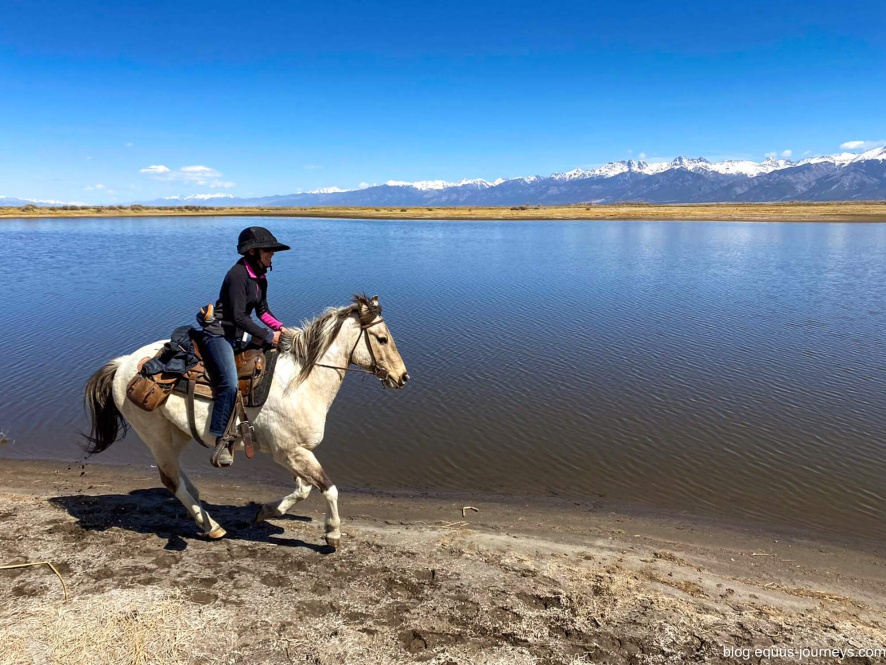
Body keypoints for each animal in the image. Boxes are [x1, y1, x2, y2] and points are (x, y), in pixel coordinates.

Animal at [83, 294, 410, 544]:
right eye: (382, 339)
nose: (403, 377)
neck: (300, 383)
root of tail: (123, 364)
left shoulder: (291, 452)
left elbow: (303, 489)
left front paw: (266, 511)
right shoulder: (290, 452)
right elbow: (328, 488)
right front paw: (332, 534)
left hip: (177, 435)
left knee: (179, 478)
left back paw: (202, 514)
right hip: (156, 436)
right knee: (171, 479)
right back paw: (212, 526)